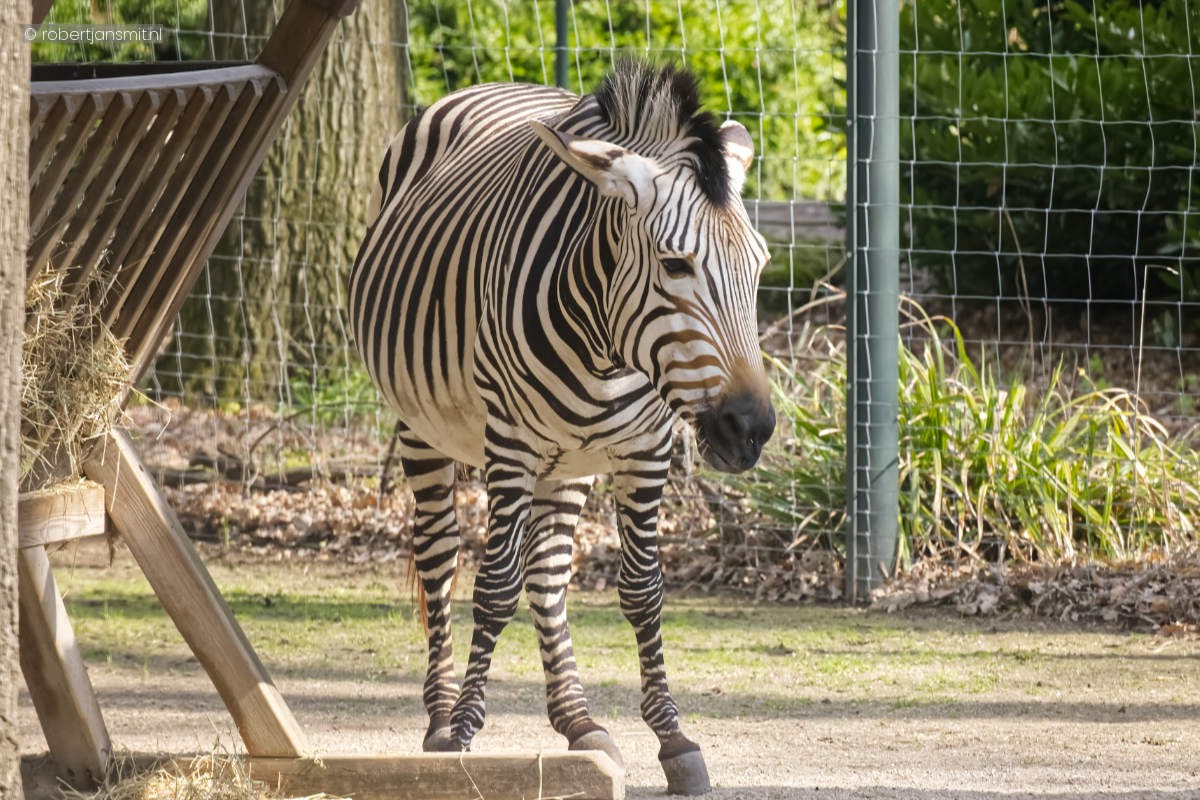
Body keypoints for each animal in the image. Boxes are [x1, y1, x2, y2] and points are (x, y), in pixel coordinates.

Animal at [349, 61, 775, 795]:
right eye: (675, 265)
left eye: (760, 265)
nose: (749, 428)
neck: (606, 347)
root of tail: (499, 85)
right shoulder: (511, 449)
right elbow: (493, 589)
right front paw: (463, 734)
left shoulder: (646, 451)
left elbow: (642, 591)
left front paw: (674, 739)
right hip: (422, 429)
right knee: (439, 561)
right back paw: (438, 718)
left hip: (571, 463)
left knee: (548, 575)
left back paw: (578, 722)